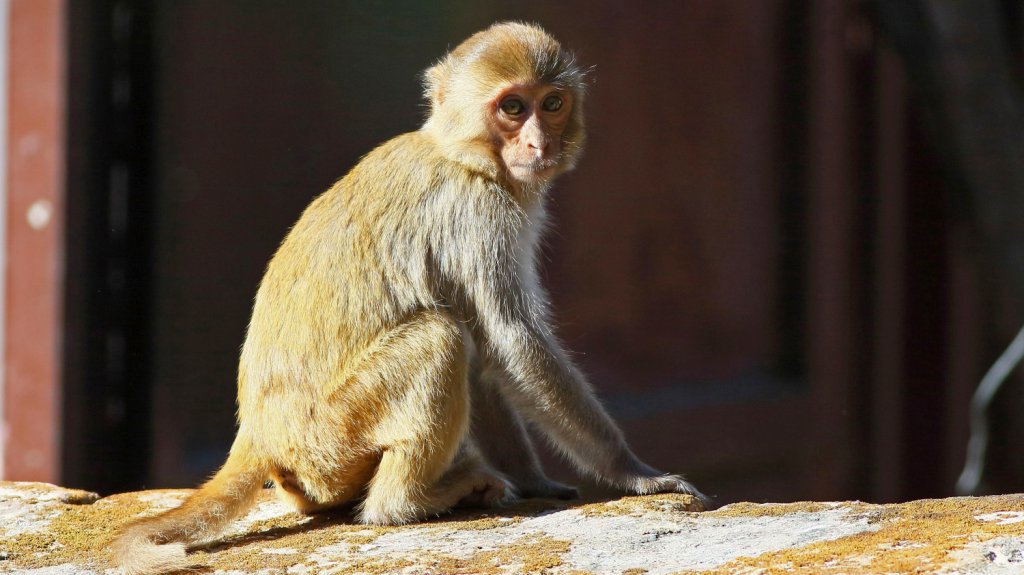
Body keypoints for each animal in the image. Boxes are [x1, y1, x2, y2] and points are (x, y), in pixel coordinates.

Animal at [113, 21, 706, 575]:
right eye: (513, 107)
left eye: (552, 104)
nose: (539, 144)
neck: (462, 154)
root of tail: (259, 435)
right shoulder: (480, 215)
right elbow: (511, 341)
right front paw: (635, 473)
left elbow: (489, 360)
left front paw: (535, 479)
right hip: (332, 436)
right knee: (440, 338)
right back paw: (404, 504)